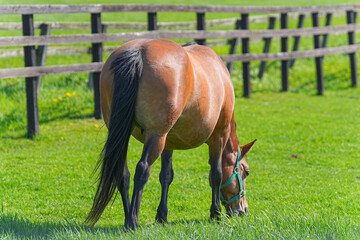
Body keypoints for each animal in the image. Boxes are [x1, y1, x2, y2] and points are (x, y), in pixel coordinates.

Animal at [86, 38, 256, 230]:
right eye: (246, 171)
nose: (243, 210)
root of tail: (138, 51)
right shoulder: (219, 136)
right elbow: (216, 174)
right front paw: (216, 213)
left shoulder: (169, 143)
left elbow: (166, 176)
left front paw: (162, 216)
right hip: (156, 136)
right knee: (142, 169)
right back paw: (132, 221)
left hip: (127, 135)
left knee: (123, 173)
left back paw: (128, 215)